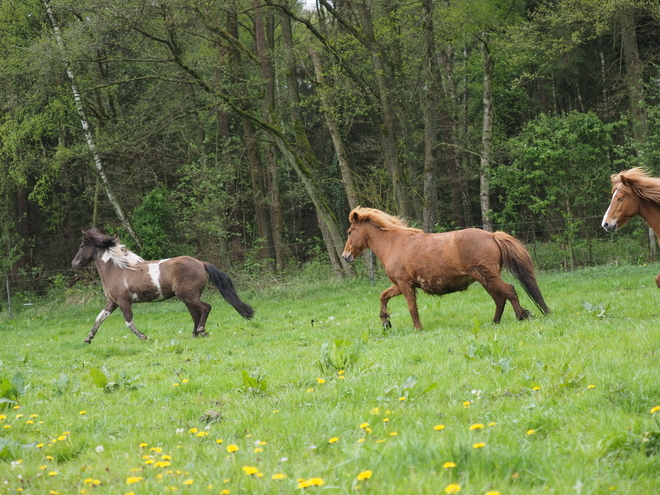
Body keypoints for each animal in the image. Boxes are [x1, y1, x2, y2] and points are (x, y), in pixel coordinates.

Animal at [71, 230, 253, 342]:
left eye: (81, 246)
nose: (74, 264)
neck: (116, 269)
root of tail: (201, 263)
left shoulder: (124, 302)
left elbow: (129, 323)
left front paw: (145, 337)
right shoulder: (112, 302)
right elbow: (99, 318)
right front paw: (88, 338)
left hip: (188, 295)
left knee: (205, 308)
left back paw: (201, 331)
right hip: (188, 297)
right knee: (196, 313)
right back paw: (194, 335)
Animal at [342, 207, 548, 332]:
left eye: (350, 232)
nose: (345, 256)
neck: (394, 243)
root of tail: (492, 235)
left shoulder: (405, 284)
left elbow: (411, 308)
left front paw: (417, 328)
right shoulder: (400, 285)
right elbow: (383, 296)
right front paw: (385, 321)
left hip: (488, 277)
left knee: (509, 291)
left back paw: (522, 316)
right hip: (485, 279)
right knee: (500, 299)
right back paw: (494, 322)